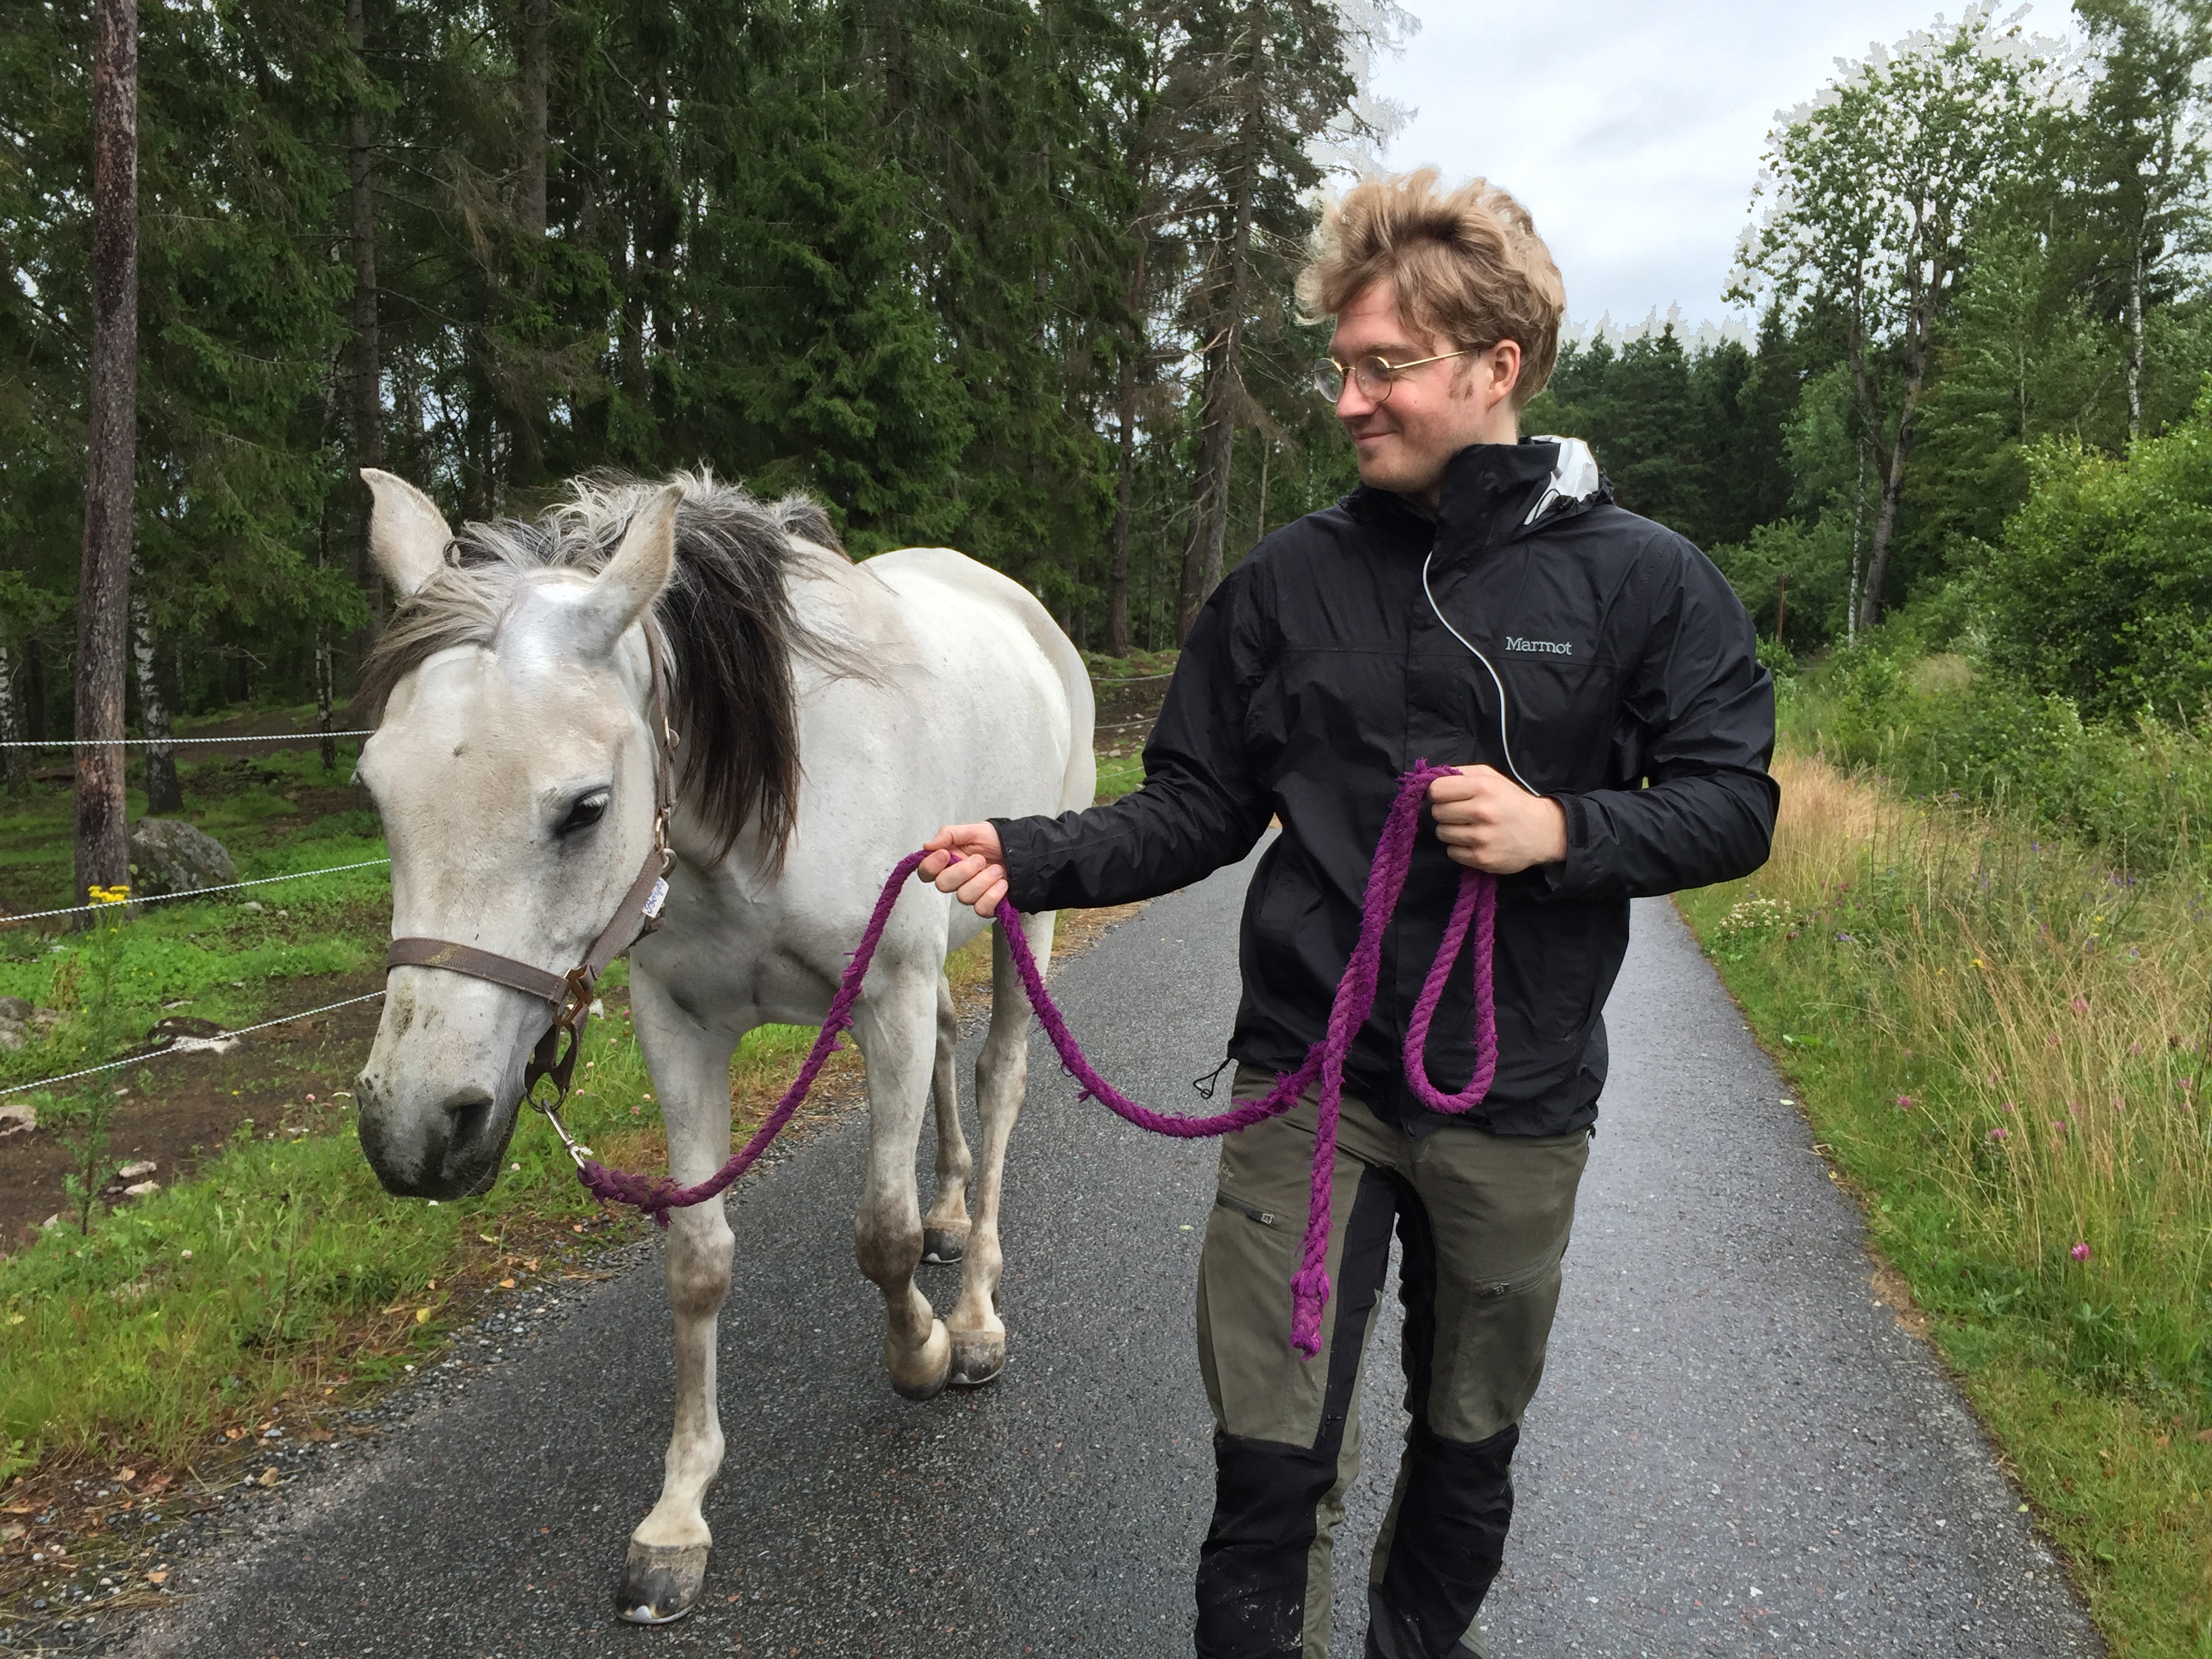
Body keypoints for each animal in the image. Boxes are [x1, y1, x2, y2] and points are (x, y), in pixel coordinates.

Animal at [342, 468, 1088, 1628]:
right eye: (376, 788)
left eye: (585, 808)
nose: (412, 1131)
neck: (757, 820)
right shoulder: (680, 1025)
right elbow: (697, 1264)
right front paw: (678, 1518)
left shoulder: (887, 998)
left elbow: (878, 1235)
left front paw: (919, 1350)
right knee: (951, 1076)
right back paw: (952, 1213)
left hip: (1027, 928)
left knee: (1000, 1081)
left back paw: (973, 1318)